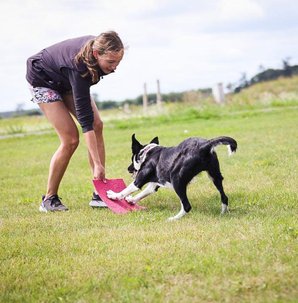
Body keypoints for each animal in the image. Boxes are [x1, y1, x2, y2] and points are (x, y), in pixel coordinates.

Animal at [107, 135, 237, 221]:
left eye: (131, 158)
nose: (128, 168)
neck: (147, 153)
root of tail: (205, 145)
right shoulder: (153, 185)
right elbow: (142, 193)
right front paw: (131, 200)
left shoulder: (138, 181)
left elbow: (126, 190)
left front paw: (113, 195)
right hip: (215, 176)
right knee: (224, 197)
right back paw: (223, 213)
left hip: (177, 180)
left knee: (187, 206)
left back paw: (174, 218)